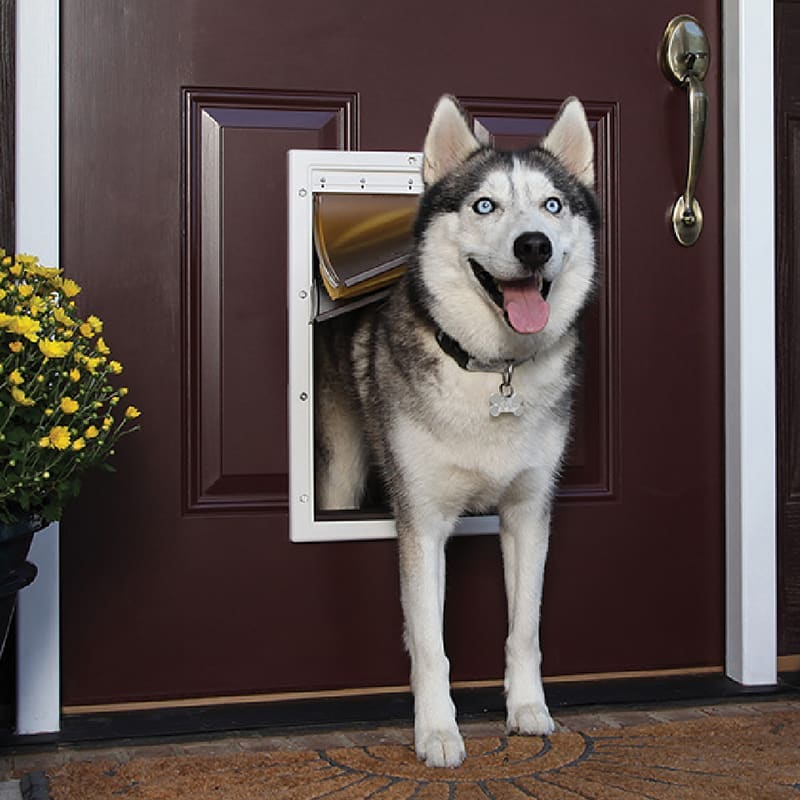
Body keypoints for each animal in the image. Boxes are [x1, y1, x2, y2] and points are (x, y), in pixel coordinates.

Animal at [316, 97, 596, 764]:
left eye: (553, 205)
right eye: (485, 205)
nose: (533, 245)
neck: (493, 371)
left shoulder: (528, 513)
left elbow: (524, 628)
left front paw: (528, 709)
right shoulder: (422, 522)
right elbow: (430, 644)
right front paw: (438, 731)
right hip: (343, 471)